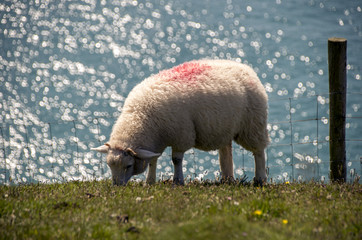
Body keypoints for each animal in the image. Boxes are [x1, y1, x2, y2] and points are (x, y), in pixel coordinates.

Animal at [92, 58, 270, 186]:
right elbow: (153, 160)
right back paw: (227, 179)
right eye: (109, 165)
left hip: (252, 124)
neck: (141, 115)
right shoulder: (155, 141)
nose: (117, 186)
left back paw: (260, 179)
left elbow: (176, 160)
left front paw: (178, 181)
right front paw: (150, 181)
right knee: (226, 151)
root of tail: (243, 67)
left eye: (128, 166)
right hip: (225, 127)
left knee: (259, 151)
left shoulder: (181, 135)